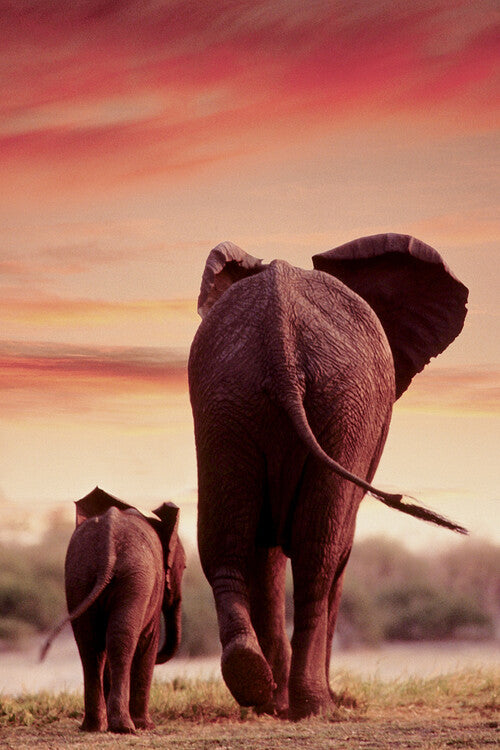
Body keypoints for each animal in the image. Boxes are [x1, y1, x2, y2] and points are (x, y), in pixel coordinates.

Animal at [41, 487, 186, 733]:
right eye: (184, 568)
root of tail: (107, 549)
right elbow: (148, 640)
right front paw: (147, 726)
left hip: (78, 574)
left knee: (90, 644)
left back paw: (93, 727)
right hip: (135, 578)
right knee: (121, 638)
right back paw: (124, 727)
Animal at [188, 233, 468, 720]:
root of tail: (279, 336)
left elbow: (265, 553)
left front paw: (272, 703)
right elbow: (335, 550)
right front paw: (322, 701)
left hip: (226, 397)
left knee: (227, 541)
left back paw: (253, 682)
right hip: (344, 405)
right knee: (320, 553)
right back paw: (316, 705)